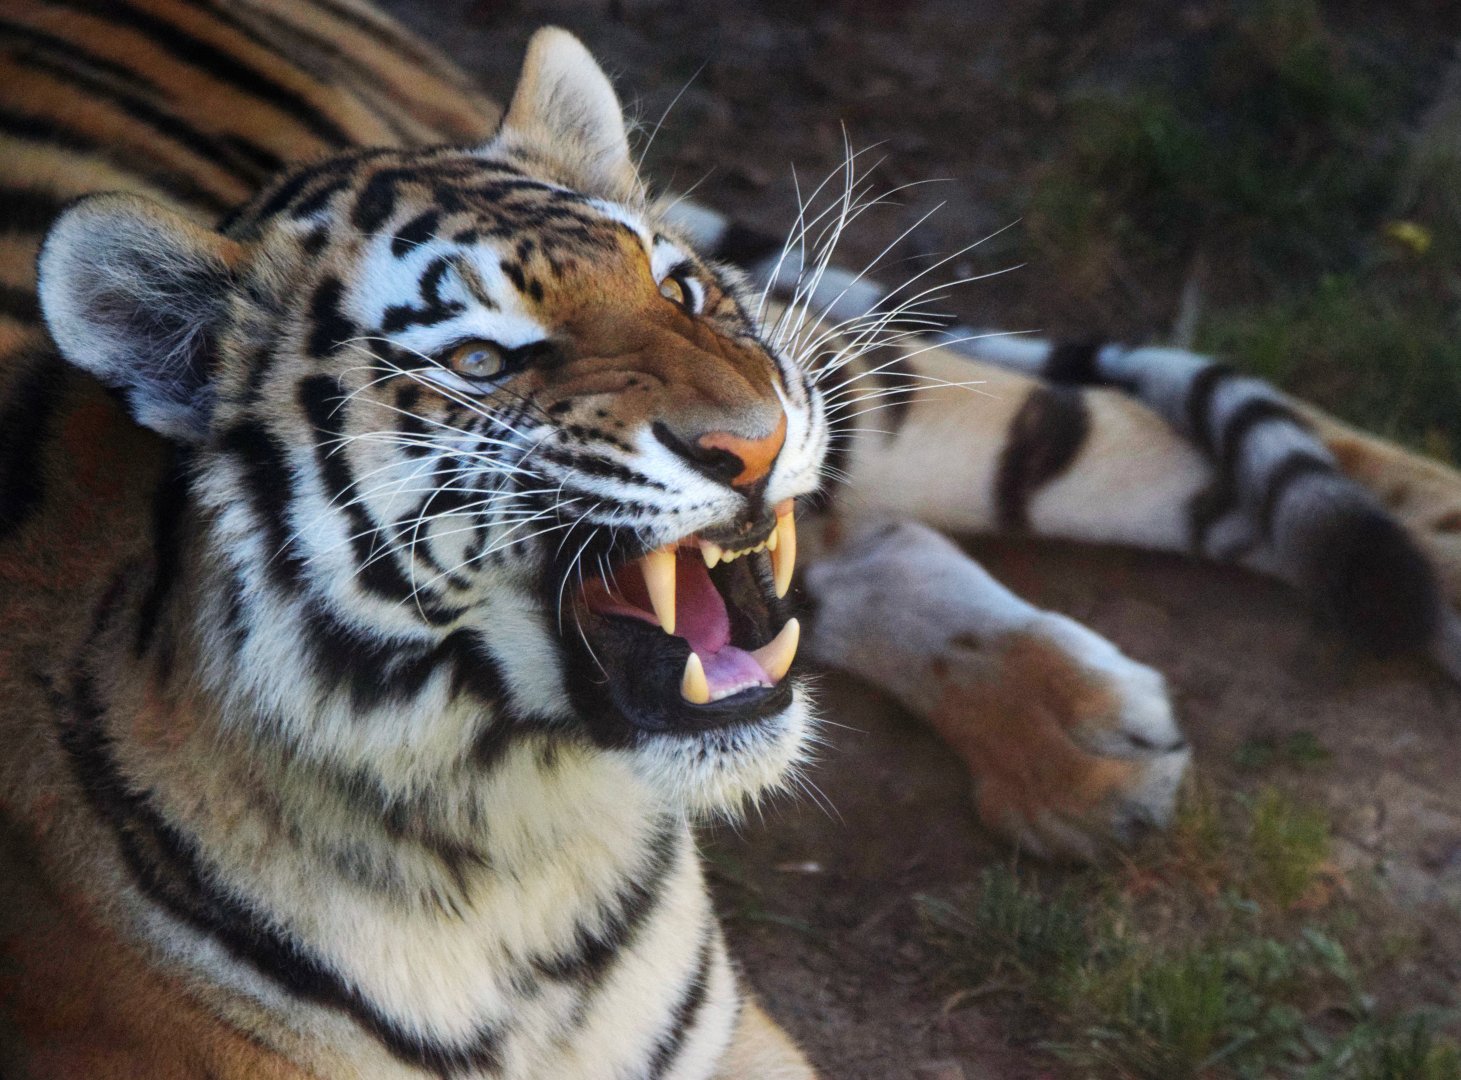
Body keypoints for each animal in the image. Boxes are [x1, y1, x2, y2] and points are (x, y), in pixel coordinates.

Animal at [2, 2, 1461, 1078]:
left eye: (679, 293)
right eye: (478, 362)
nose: (752, 442)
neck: (512, 861)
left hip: (852, 378)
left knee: (1117, 429)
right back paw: (1078, 747)